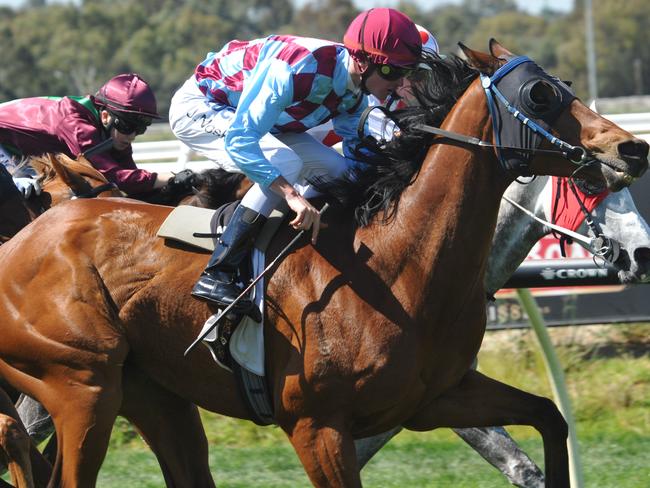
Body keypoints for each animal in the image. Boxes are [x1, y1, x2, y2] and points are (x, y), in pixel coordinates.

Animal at [0, 43, 644, 488]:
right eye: (540, 95)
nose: (631, 149)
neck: (397, 265)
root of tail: (22, 239)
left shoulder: (437, 397)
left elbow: (548, 422)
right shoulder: (318, 428)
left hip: (154, 396)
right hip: (81, 384)